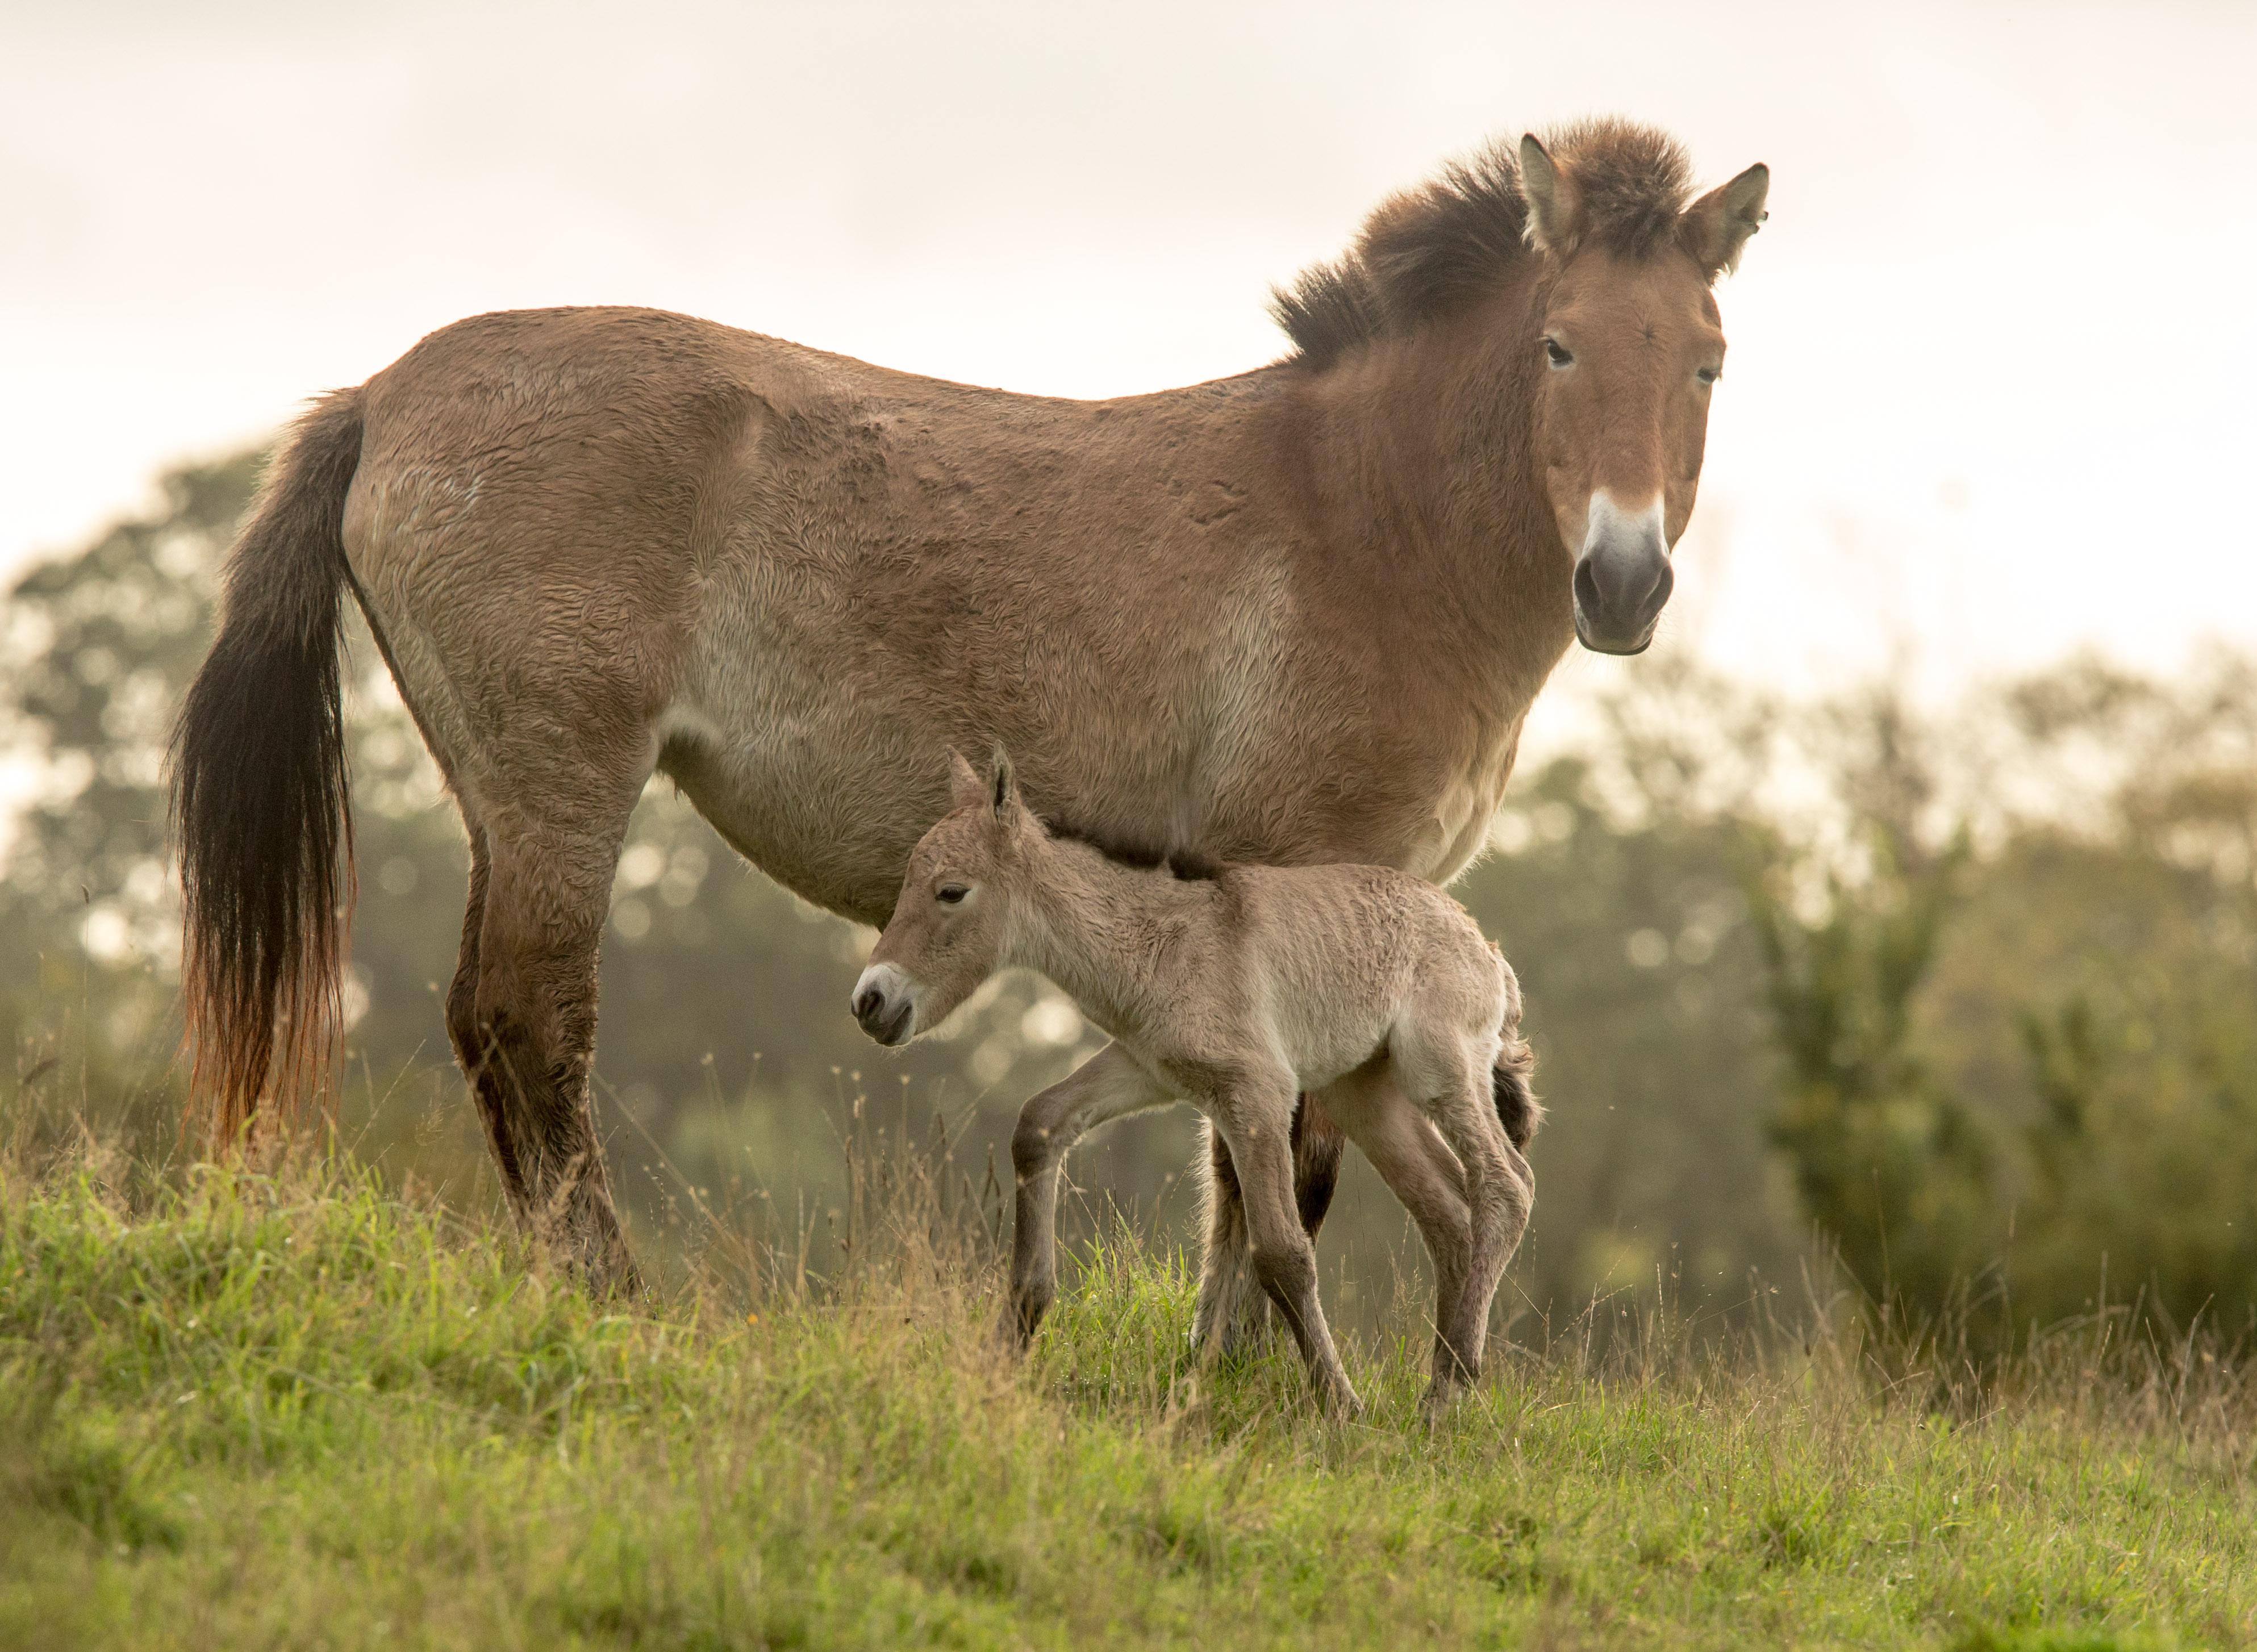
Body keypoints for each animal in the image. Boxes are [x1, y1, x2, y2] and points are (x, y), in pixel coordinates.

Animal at [171, 122, 1760, 1300]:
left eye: (1706, 358)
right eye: (1558, 345)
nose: (1623, 581)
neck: (1359, 518)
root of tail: (384, 394)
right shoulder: (1303, 887)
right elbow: (1275, 1165)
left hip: (501, 796)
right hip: (563, 785)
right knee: (530, 1022)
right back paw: (618, 1300)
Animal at [848, 753, 1534, 1417]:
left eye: (951, 891)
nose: (870, 1002)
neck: (1161, 941)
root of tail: (1489, 950)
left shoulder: (1256, 1094)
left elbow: (1282, 1252)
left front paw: (1340, 1406)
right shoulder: (1146, 1069)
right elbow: (1039, 1122)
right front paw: (1012, 1338)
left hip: (1438, 1068)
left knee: (1506, 1186)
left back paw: (1450, 1389)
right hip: (1365, 1096)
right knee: (1448, 1209)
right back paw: (1439, 1387)